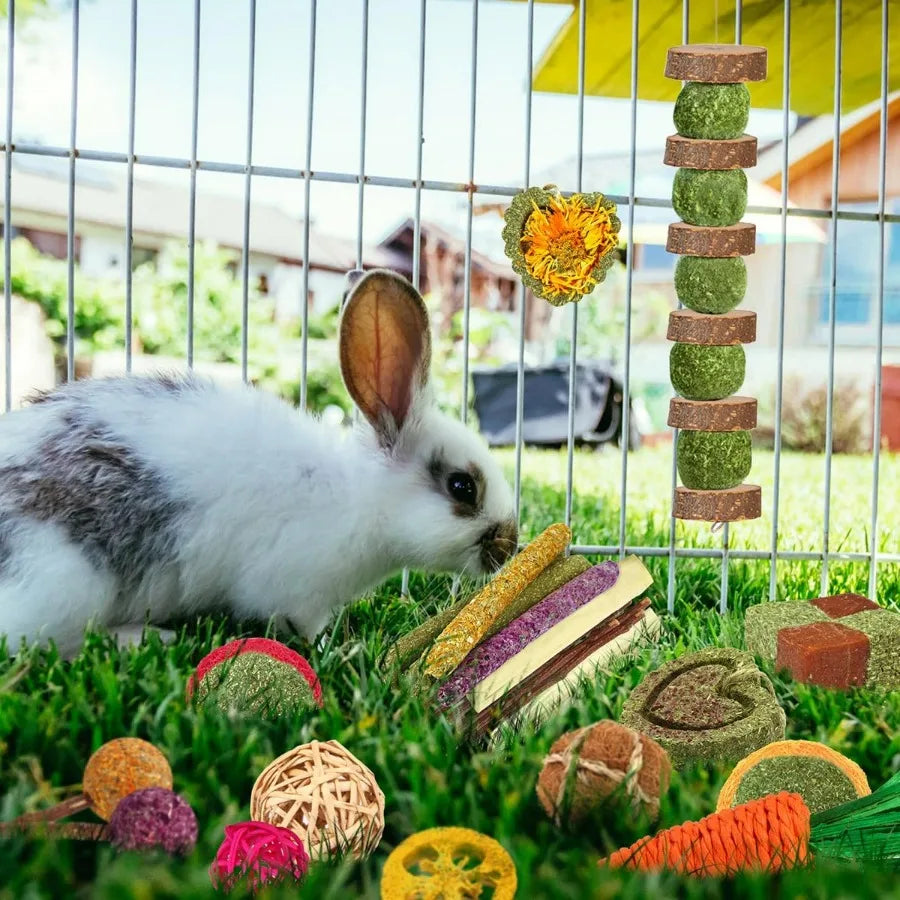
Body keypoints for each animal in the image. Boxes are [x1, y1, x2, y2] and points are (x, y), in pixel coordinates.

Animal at [0, 269, 519, 658]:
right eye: (462, 487)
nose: (510, 544)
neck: (362, 498)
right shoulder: (295, 591)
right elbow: (301, 628)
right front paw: (335, 648)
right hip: (65, 586)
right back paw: (144, 637)